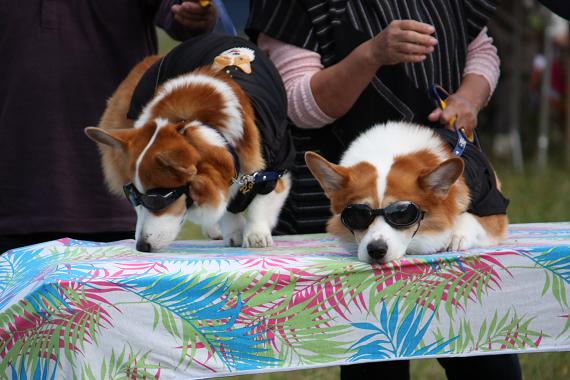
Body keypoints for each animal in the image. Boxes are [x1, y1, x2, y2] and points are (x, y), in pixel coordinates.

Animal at [84, 33, 292, 252]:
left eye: (156, 200)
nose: (141, 246)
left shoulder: (277, 165)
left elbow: (262, 203)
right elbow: (226, 207)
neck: (195, 123)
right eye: (134, 197)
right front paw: (234, 232)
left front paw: (255, 235)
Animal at [304, 121, 508, 264]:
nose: (376, 250)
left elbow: (471, 219)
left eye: (402, 213)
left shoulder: (494, 209)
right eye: (357, 215)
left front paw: (457, 235)